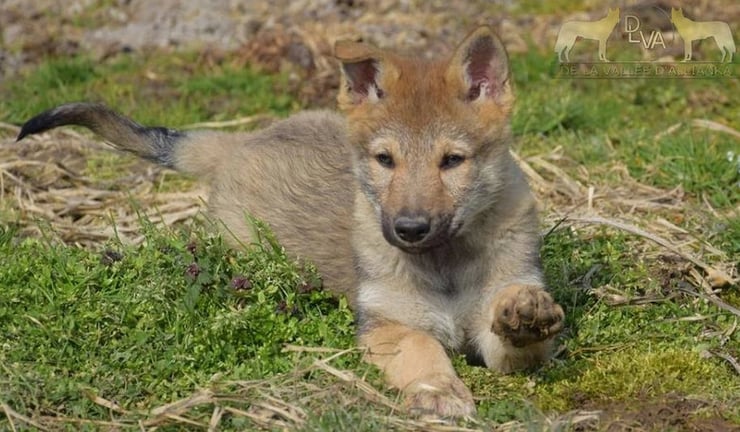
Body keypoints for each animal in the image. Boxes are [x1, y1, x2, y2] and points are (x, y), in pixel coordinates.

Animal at [17, 26, 564, 418]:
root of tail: (237, 142)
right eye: (385, 160)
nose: (408, 230)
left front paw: (524, 313)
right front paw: (437, 389)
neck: (444, 263)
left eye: (452, 161)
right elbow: (420, 347)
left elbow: (516, 334)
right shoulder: (386, 325)